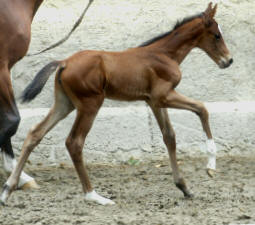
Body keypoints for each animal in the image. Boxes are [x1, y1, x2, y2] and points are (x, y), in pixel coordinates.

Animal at [0, 2, 233, 206]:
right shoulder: (164, 96)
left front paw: (184, 186)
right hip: (90, 103)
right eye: (217, 35)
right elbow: (202, 109)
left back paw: (8, 189)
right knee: (74, 142)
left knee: (35, 133)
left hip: (65, 104)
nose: (228, 61)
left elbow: (169, 137)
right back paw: (94, 196)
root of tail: (64, 62)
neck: (164, 54)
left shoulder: (154, 101)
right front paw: (211, 166)